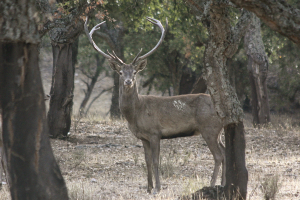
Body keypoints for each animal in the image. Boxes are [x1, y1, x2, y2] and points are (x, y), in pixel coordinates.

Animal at [84, 16, 225, 194]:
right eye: (121, 72)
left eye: (135, 72)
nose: (128, 81)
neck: (135, 114)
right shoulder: (143, 137)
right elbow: (147, 161)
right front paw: (148, 187)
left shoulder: (154, 132)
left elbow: (156, 160)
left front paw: (158, 188)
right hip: (218, 131)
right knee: (225, 153)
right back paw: (223, 184)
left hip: (209, 128)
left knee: (219, 156)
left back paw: (212, 184)